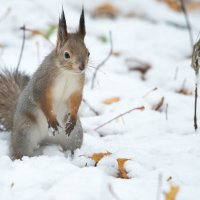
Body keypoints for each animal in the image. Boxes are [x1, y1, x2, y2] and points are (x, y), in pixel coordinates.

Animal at [0, 8, 90, 159]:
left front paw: (72, 118)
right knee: (19, 149)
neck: (67, 73)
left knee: (72, 143)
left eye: (88, 53)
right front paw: (52, 120)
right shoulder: (42, 85)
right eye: (66, 55)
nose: (82, 67)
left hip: (75, 135)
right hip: (25, 131)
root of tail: (46, 138)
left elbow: (76, 101)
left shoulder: (77, 88)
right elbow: (42, 101)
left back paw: (73, 155)